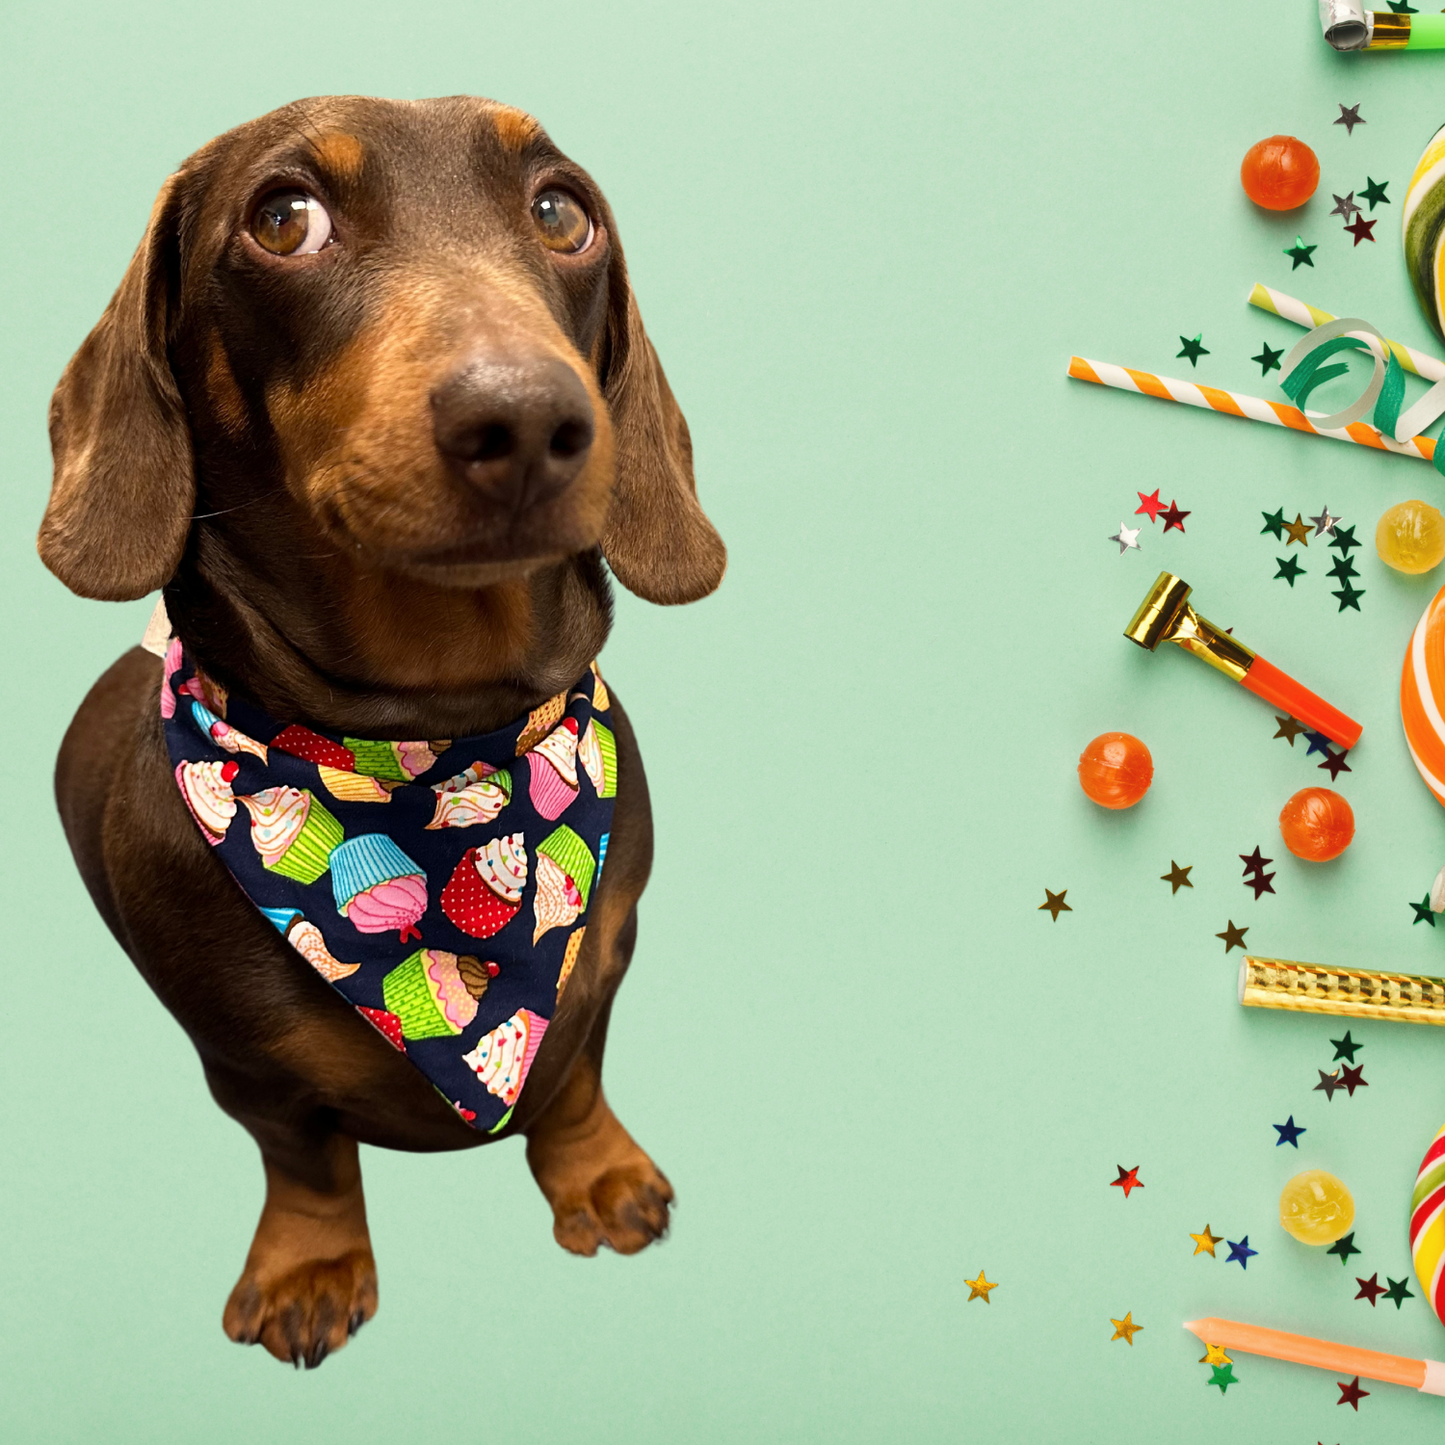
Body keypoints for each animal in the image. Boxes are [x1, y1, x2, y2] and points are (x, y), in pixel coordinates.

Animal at [36, 98, 722, 1364]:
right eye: (282, 219)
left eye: (562, 211)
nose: (528, 418)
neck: (436, 748)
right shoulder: (241, 1063)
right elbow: (304, 1156)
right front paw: (310, 1264)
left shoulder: (601, 964)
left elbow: (574, 1078)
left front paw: (595, 1174)